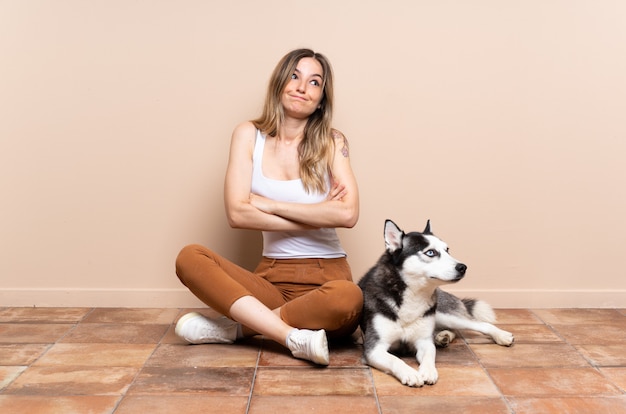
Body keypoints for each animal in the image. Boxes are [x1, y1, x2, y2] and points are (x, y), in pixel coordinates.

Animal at [356, 220, 512, 388]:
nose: (463, 267)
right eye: (430, 252)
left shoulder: (424, 341)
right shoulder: (374, 348)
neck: (413, 296)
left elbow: (429, 355)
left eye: (447, 250)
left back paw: (500, 335)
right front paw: (410, 373)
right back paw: (443, 336)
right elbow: (395, 360)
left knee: (480, 324)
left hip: (445, 314)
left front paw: (428, 371)